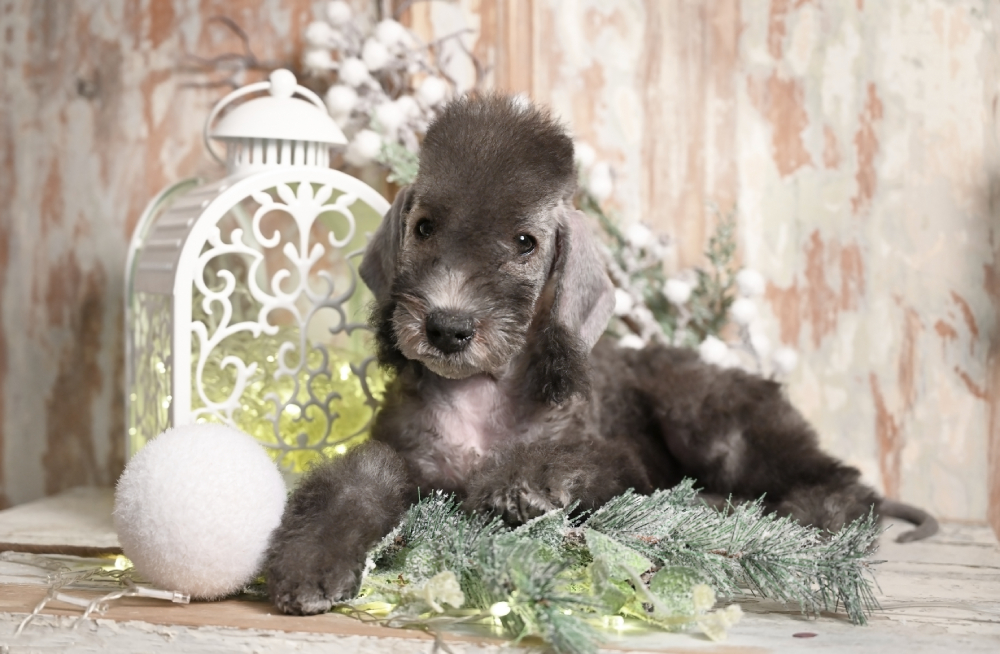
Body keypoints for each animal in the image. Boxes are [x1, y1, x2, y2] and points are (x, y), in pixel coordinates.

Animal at [266, 95, 936, 616]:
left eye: (525, 242)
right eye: (425, 227)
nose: (447, 327)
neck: (481, 388)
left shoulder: (615, 460)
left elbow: (573, 458)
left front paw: (520, 485)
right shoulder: (404, 450)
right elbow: (362, 475)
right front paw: (311, 562)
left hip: (712, 418)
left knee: (843, 483)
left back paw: (797, 514)